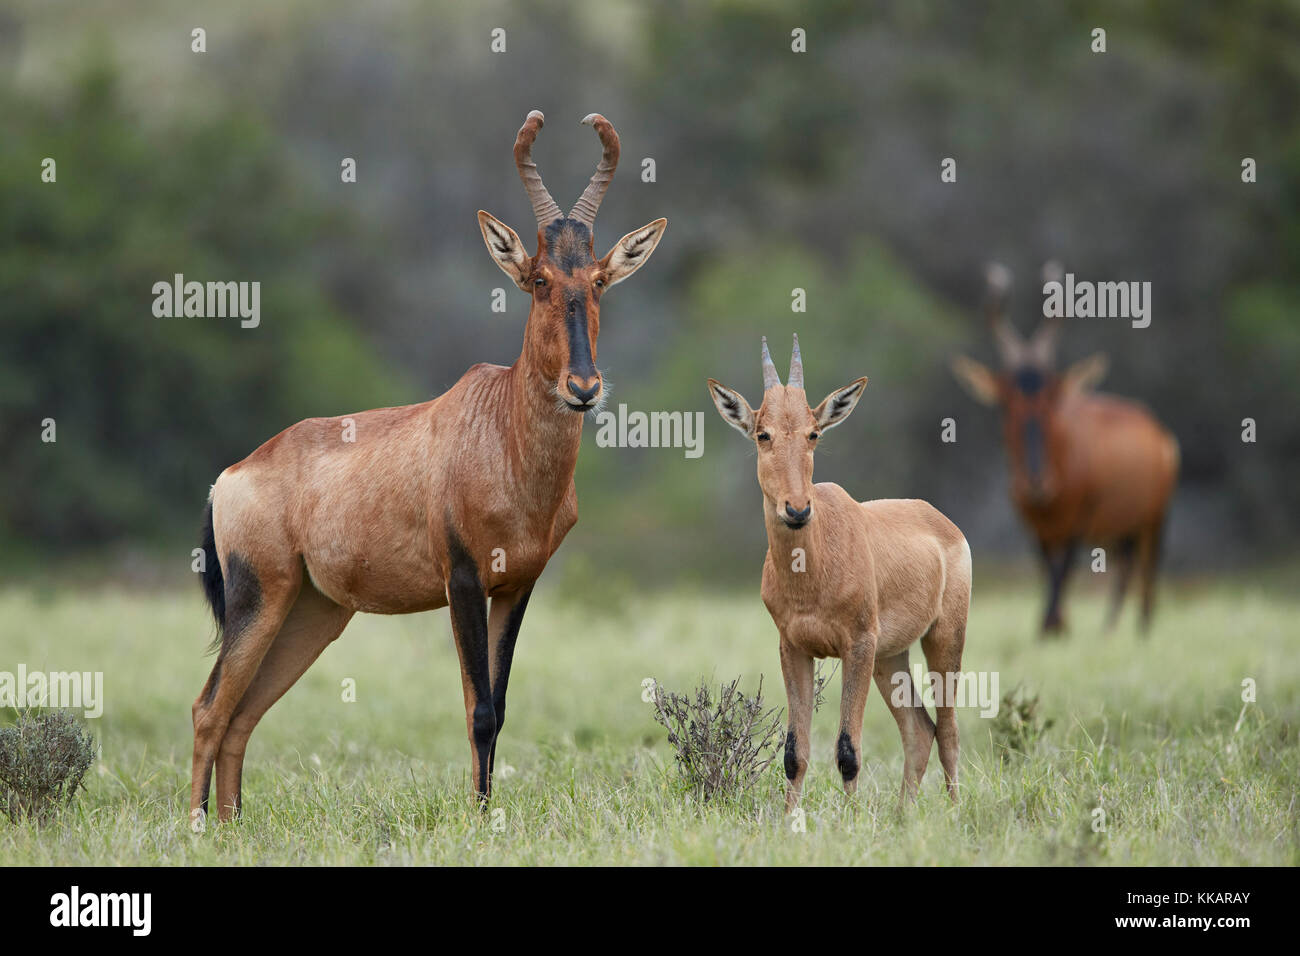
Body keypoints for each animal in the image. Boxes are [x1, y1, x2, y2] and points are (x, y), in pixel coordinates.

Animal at [192, 110, 670, 832]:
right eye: (537, 279)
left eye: (598, 280)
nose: (584, 388)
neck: (500, 432)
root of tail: (231, 475)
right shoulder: (463, 582)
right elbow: (478, 709)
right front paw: (478, 820)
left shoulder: (517, 587)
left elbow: (499, 706)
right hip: (259, 598)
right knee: (209, 709)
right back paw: (196, 829)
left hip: (312, 611)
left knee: (242, 716)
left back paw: (230, 830)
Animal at [707, 340, 972, 811]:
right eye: (762, 433)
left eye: (814, 432)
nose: (797, 509)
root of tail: (942, 520)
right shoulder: (793, 648)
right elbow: (795, 751)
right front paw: (791, 819)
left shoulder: (857, 646)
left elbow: (848, 749)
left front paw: (850, 819)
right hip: (889, 656)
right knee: (919, 730)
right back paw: (903, 815)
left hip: (942, 639)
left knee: (948, 732)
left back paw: (955, 813)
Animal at [951, 264, 1185, 634]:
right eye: (1007, 403)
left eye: (1051, 399)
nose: (1036, 483)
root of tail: (1159, 432)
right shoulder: (1036, 527)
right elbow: (1048, 567)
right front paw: (1057, 624)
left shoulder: (1081, 518)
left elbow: (1065, 568)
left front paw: (1051, 627)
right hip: (1121, 530)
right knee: (1127, 567)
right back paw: (1109, 630)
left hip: (1154, 520)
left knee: (1148, 570)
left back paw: (1141, 629)